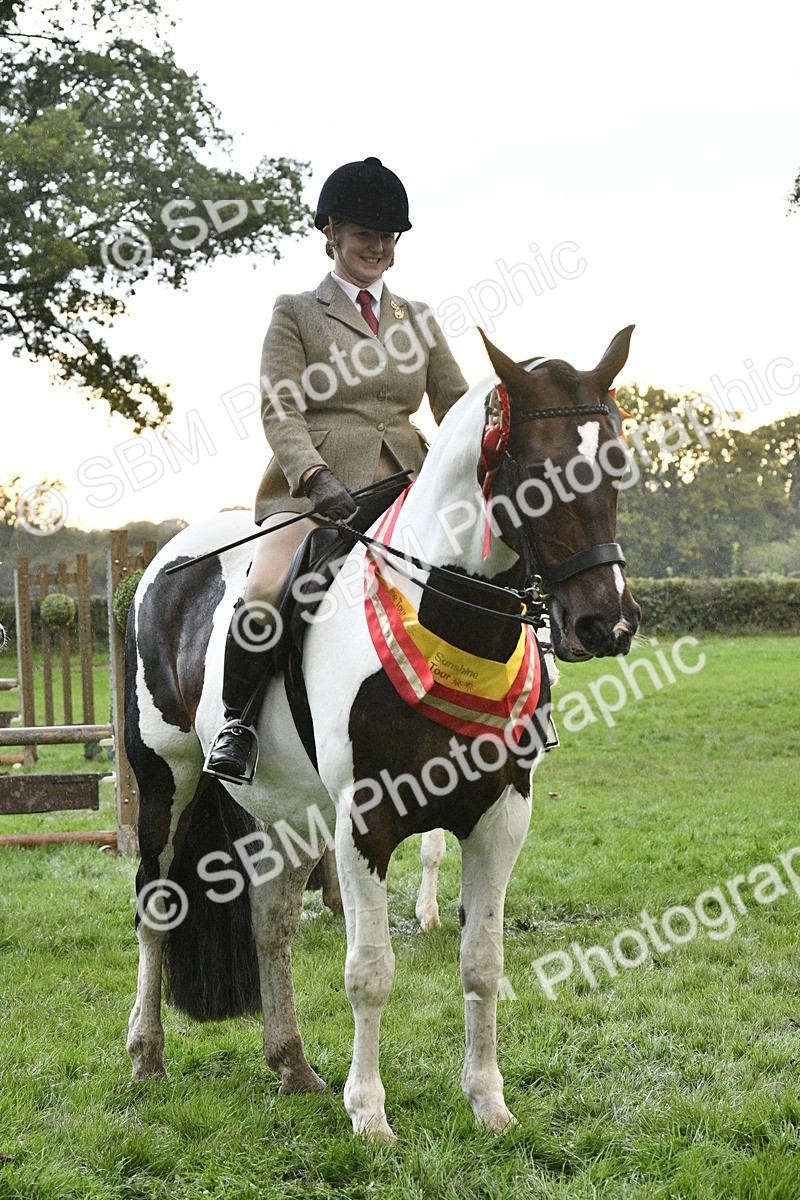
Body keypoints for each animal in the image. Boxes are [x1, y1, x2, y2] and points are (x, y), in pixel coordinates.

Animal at [125, 326, 641, 1142]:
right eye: (536, 471)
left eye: (617, 466)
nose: (606, 624)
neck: (449, 617)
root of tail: (166, 561)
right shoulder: (366, 820)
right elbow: (369, 971)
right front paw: (368, 1115)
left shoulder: (501, 817)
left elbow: (482, 961)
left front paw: (488, 1104)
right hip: (163, 781)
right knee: (155, 905)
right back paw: (147, 1056)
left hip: (291, 812)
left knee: (271, 923)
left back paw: (292, 1065)